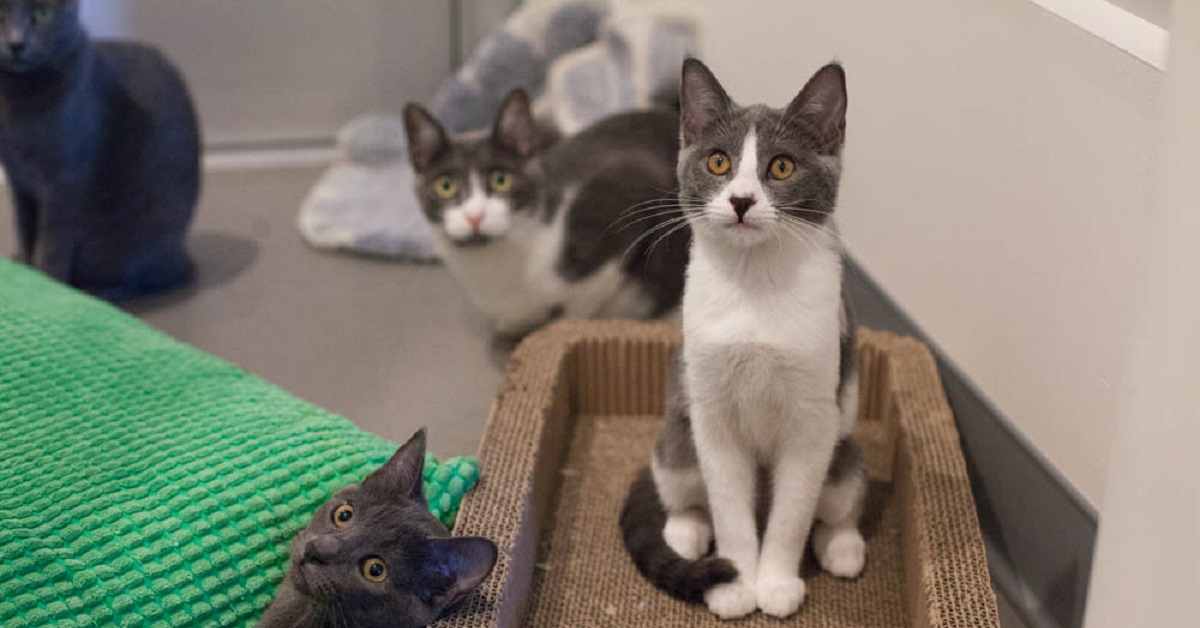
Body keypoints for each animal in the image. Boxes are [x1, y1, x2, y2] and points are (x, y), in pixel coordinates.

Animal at [403, 90, 691, 336]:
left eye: (501, 179)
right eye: (445, 185)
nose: (475, 217)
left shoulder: (632, 182)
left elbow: (584, 301)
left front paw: (563, 326)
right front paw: (515, 324)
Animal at [624, 58, 868, 619]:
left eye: (781, 167)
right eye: (718, 162)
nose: (740, 200)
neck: (755, 285)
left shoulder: (814, 418)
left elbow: (793, 511)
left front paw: (774, 583)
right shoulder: (712, 411)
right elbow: (729, 507)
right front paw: (735, 583)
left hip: (846, 449)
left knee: (839, 501)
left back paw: (843, 546)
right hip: (675, 434)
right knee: (683, 487)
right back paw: (685, 533)